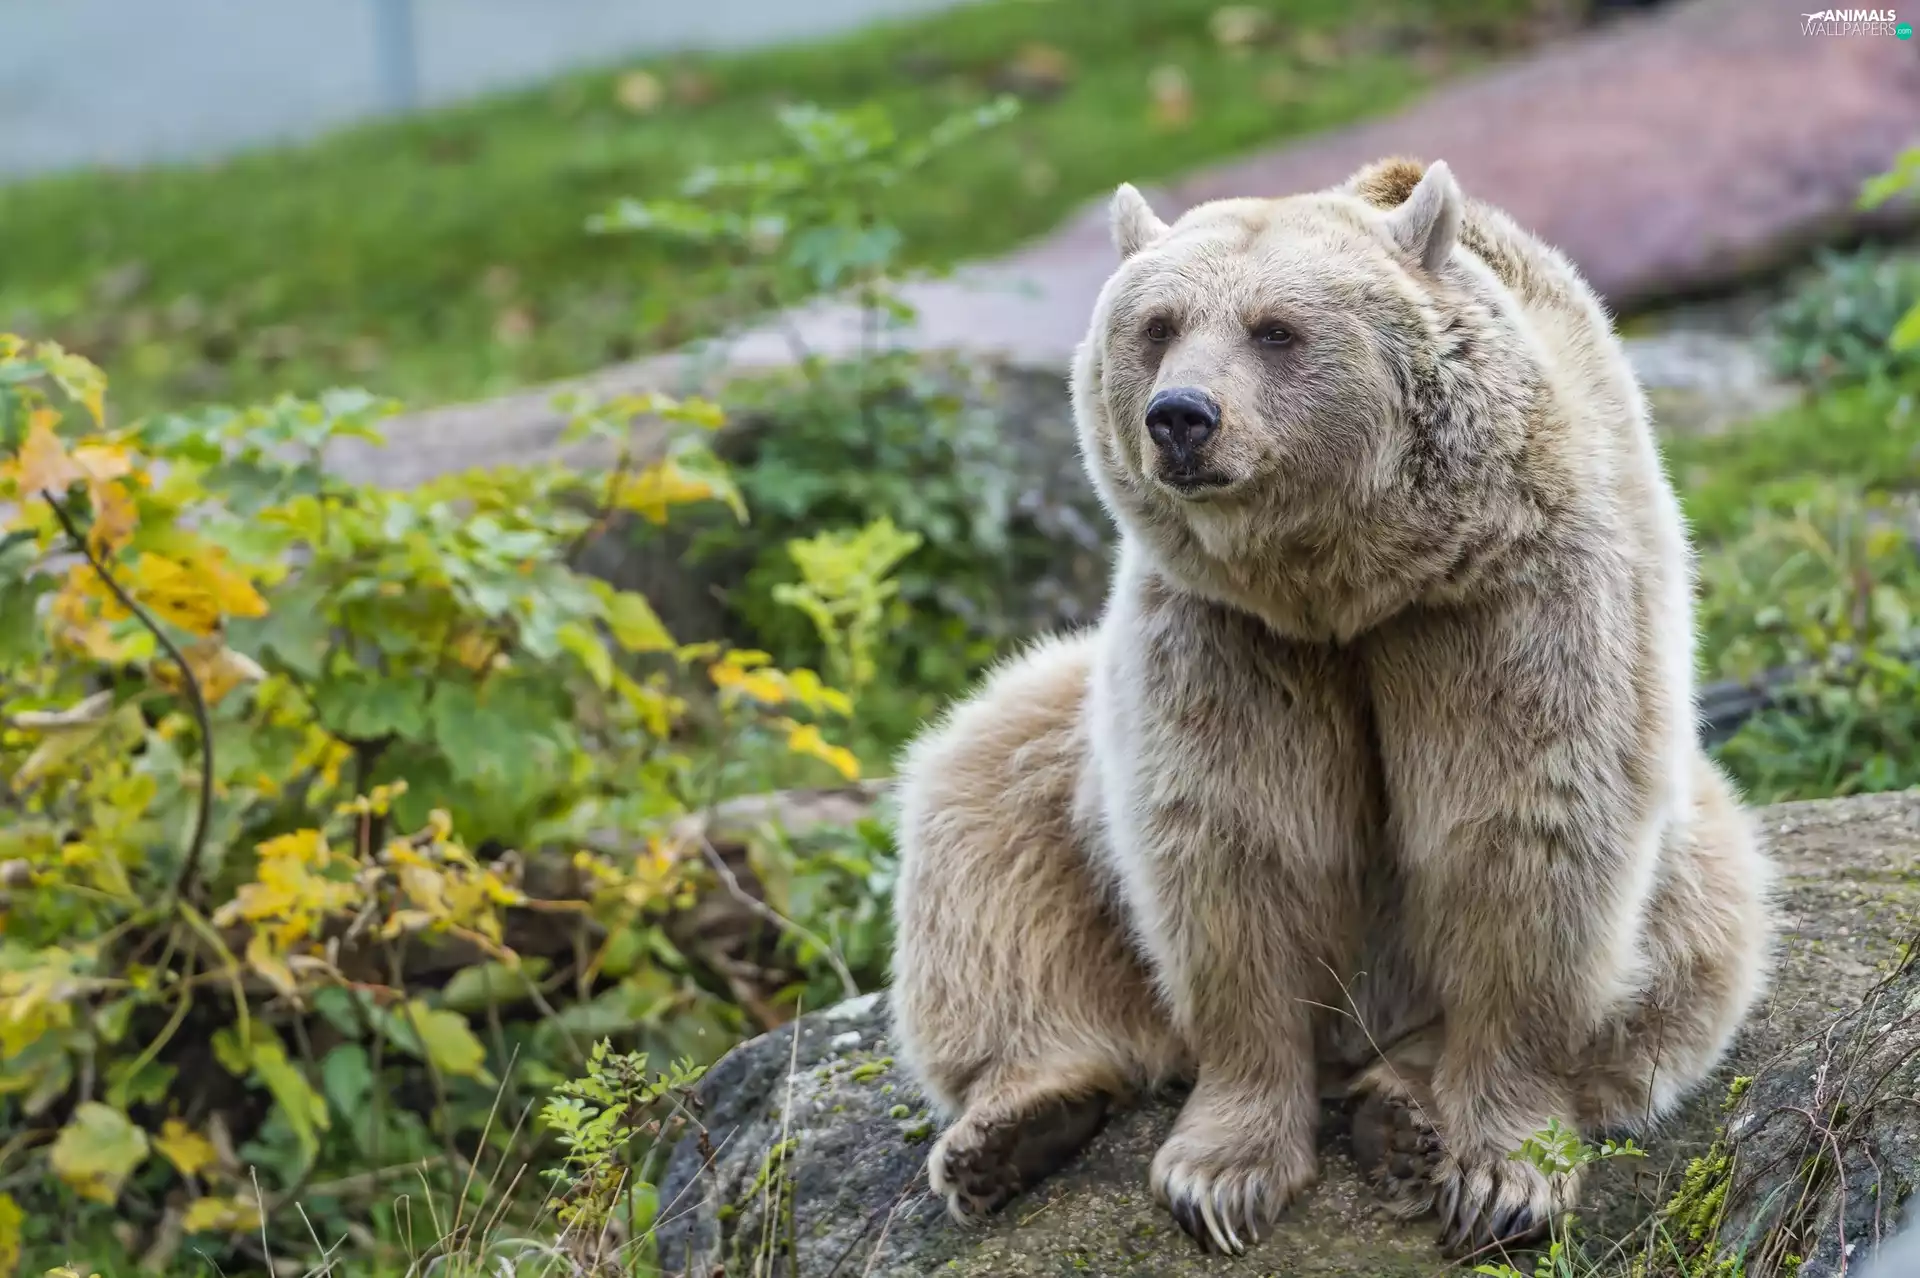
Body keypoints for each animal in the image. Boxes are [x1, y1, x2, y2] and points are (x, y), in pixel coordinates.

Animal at [886, 156, 1774, 1260]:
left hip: (1693, 845)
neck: (1352, 582)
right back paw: (1014, 1126)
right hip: (1061, 741)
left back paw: (1403, 1112)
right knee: (983, 828)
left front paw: (1502, 1178)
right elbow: (1238, 844)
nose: (1181, 417)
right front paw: (1219, 1177)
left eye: (1276, 329)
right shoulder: (1230, 637)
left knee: (1696, 932)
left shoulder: (1507, 603)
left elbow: (1520, 834)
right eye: (1158, 326)